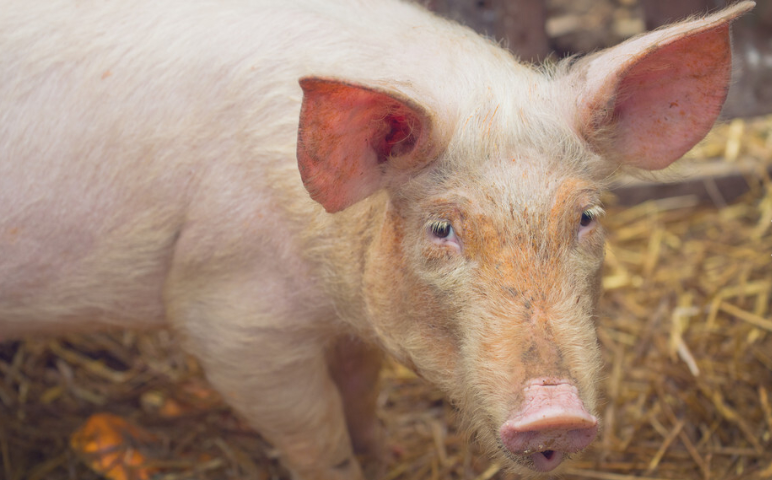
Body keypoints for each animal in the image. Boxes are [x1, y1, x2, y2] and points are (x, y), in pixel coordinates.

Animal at [0, 0, 752, 478]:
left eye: (588, 218)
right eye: (441, 227)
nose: (555, 415)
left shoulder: (348, 329)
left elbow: (362, 395)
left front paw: (384, 458)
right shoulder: (230, 321)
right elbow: (317, 432)